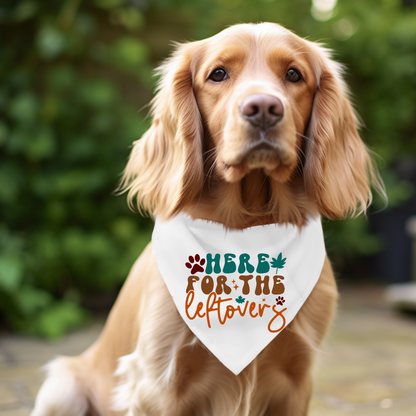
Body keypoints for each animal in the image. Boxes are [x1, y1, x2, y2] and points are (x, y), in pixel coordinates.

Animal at [31, 22, 384, 416]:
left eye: (294, 74)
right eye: (218, 74)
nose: (263, 108)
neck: (247, 229)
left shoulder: (296, 380)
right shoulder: (158, 383)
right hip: (62, 387)